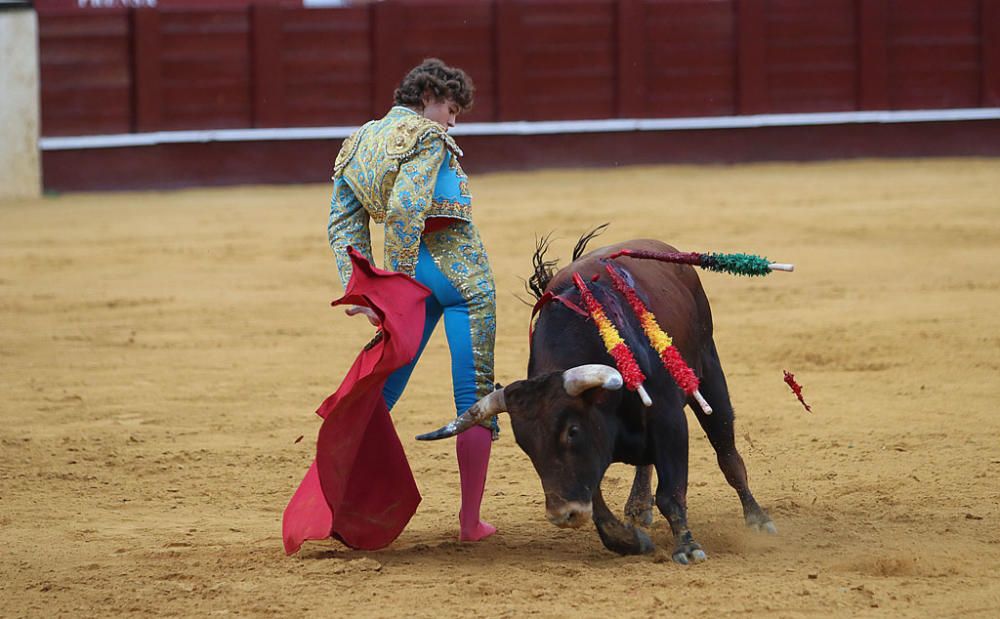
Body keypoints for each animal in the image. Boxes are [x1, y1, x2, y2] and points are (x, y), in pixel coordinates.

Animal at [418, 239, 776, 568]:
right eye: (525, 445)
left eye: (572, 431)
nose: (563, 515)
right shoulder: (593, 459)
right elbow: (598, 506)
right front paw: (631, 541)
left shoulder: (669, 419)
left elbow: (671, 492)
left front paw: (687, 548)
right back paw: (638, 507)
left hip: (709, 369)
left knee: (727, 453)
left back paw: (758, 519)